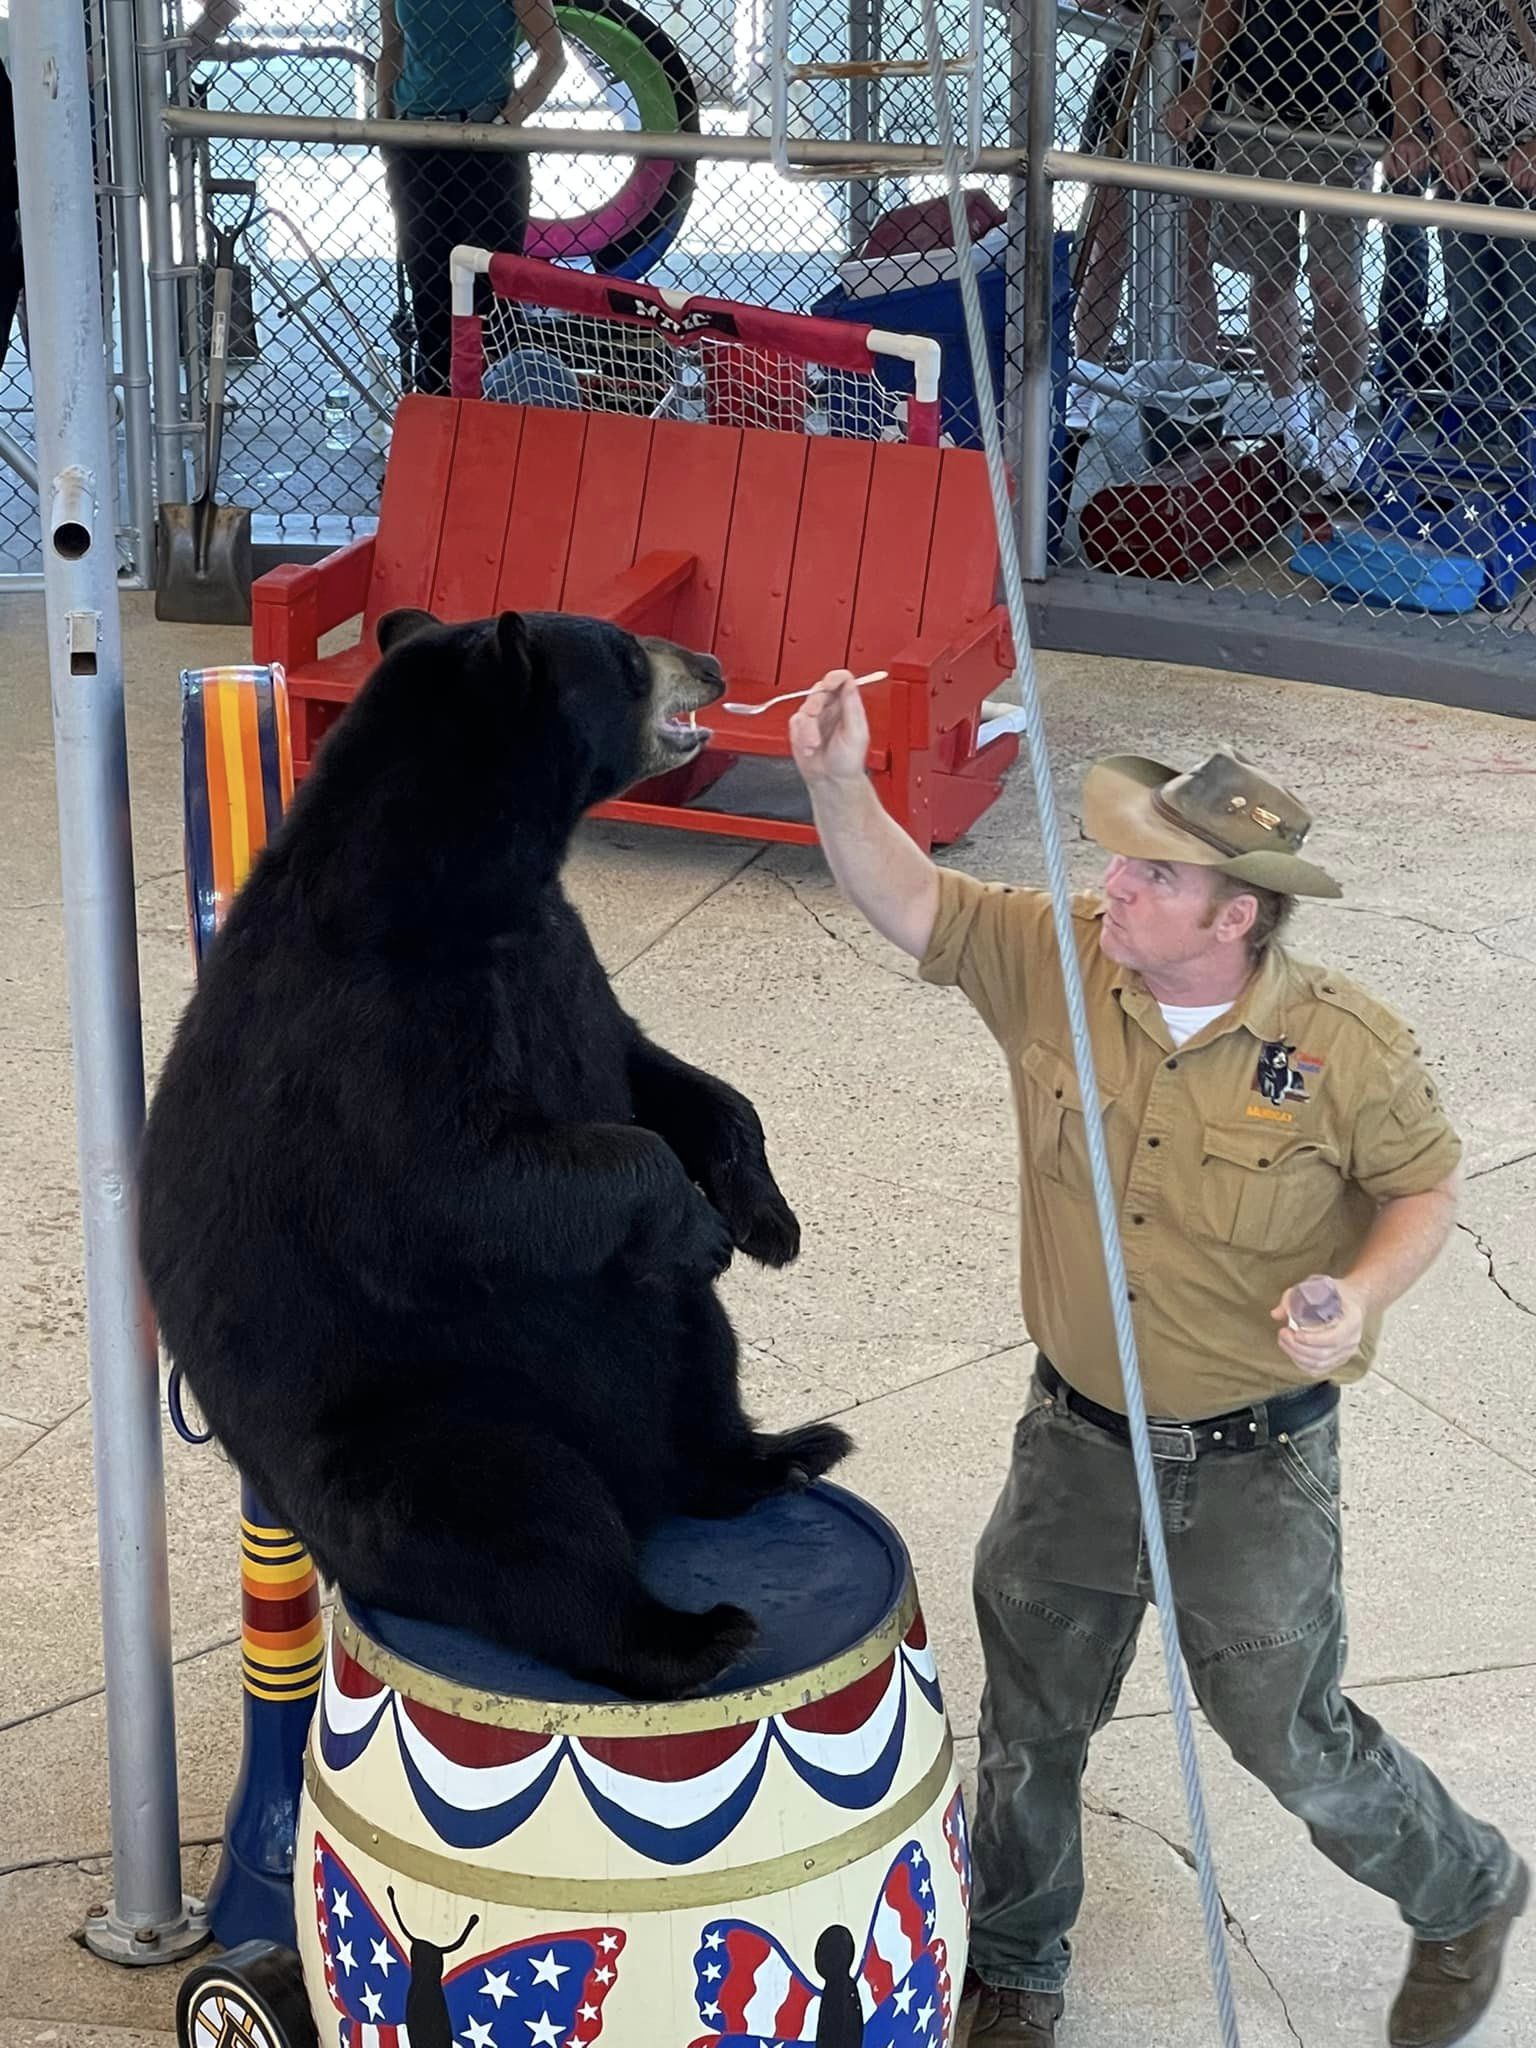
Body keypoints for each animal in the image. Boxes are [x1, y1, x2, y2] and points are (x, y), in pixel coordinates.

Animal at [137, 607, 851, 1699]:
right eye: (628, 655)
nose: (712, 665)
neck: (473, 878)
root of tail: (634, 1485)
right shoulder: (376, 1018)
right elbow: (456, 1180)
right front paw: (696, 1222)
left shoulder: (563, 959)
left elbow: (651, 1068)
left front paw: (765, 1216)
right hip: (423, 1427)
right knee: (526, 1521)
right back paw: (684, 1633)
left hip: (660, 1348)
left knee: (699, 1370)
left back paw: (776, 1453)